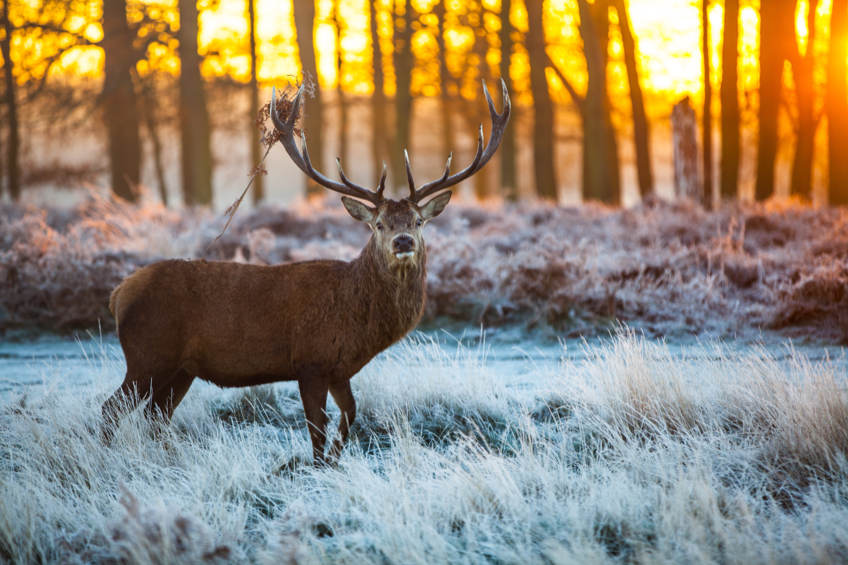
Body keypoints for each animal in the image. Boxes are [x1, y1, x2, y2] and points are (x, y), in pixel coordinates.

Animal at [99, 80, 510, 468]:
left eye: (418, 221)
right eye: (379, 223)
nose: (404, 241)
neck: (360, 322)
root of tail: (118, 295)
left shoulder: (340, 369)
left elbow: (350, 415)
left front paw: (335, 462)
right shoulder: (310, 362)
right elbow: (317, 429)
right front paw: (317, 468)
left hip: (181, 369)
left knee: (155, 417)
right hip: (148, 354)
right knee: (112, 410)